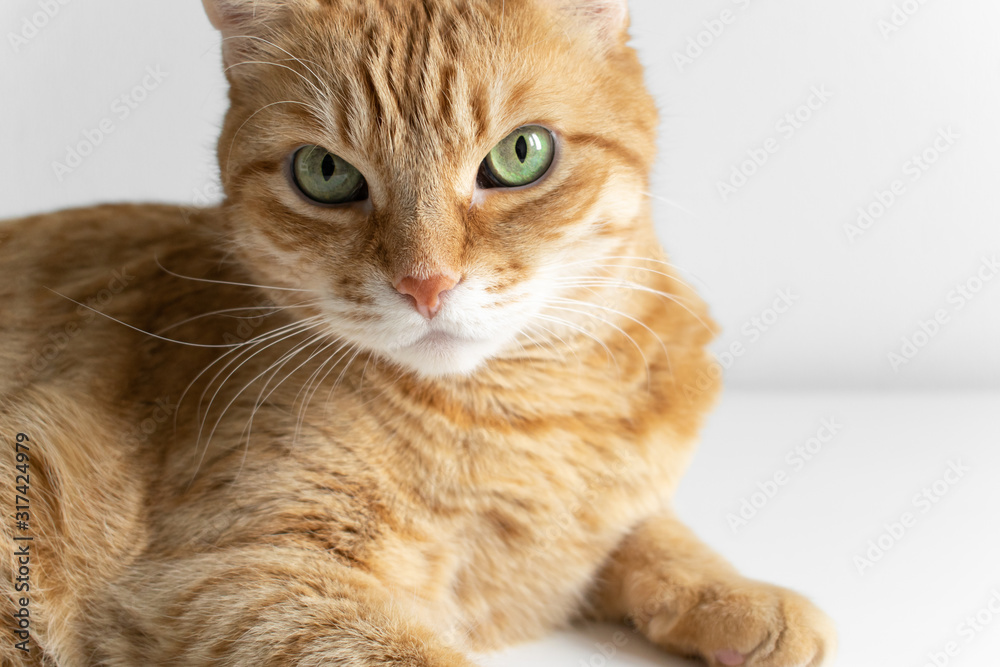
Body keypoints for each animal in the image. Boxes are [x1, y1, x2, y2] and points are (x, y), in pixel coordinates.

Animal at [1, 1, 836, 667]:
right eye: (324, 172)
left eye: (521, 153)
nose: (426, 282)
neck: (528, 419)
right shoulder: (234, 576)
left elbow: (651, 532)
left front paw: (740, 594)